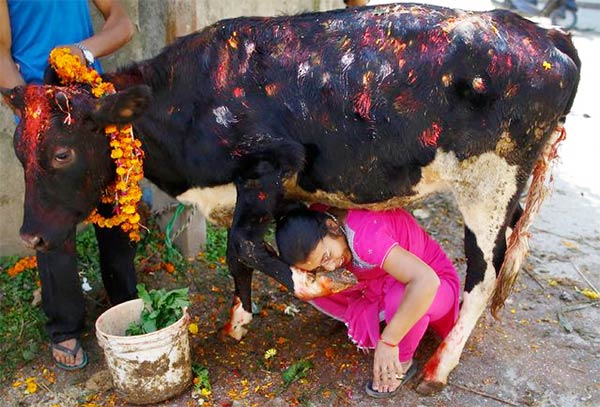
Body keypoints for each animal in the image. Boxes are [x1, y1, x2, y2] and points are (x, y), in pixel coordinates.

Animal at [2, 2, 580, 392]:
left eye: (60, 153)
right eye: (17, 149)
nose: (30, 236)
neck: (191, 101)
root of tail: (541, 32)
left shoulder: (271, 164)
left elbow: (242, 246)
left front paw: (315, 284)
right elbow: (241, 255)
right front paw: (239, 318)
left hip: (490, 185)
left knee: (484, 275)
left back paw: (439, 366)